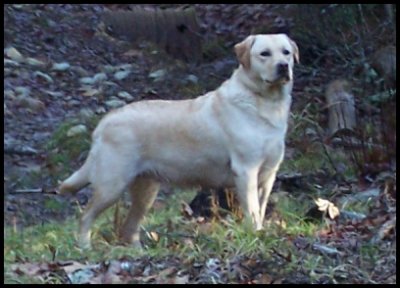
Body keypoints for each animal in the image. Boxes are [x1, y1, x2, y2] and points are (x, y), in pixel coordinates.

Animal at [58, 33, 296, 249]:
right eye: (264, 54)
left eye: (286, 52)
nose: (283, 66)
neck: (265, 102)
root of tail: (104, 122)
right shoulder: (246, 170)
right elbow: (253, 210)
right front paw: (255, 235)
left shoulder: (268, 174)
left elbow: (261, 208)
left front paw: (262, 233)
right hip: (112, 185)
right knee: (86, 216)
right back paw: (85, 248)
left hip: (145, 190)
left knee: (128, 228)